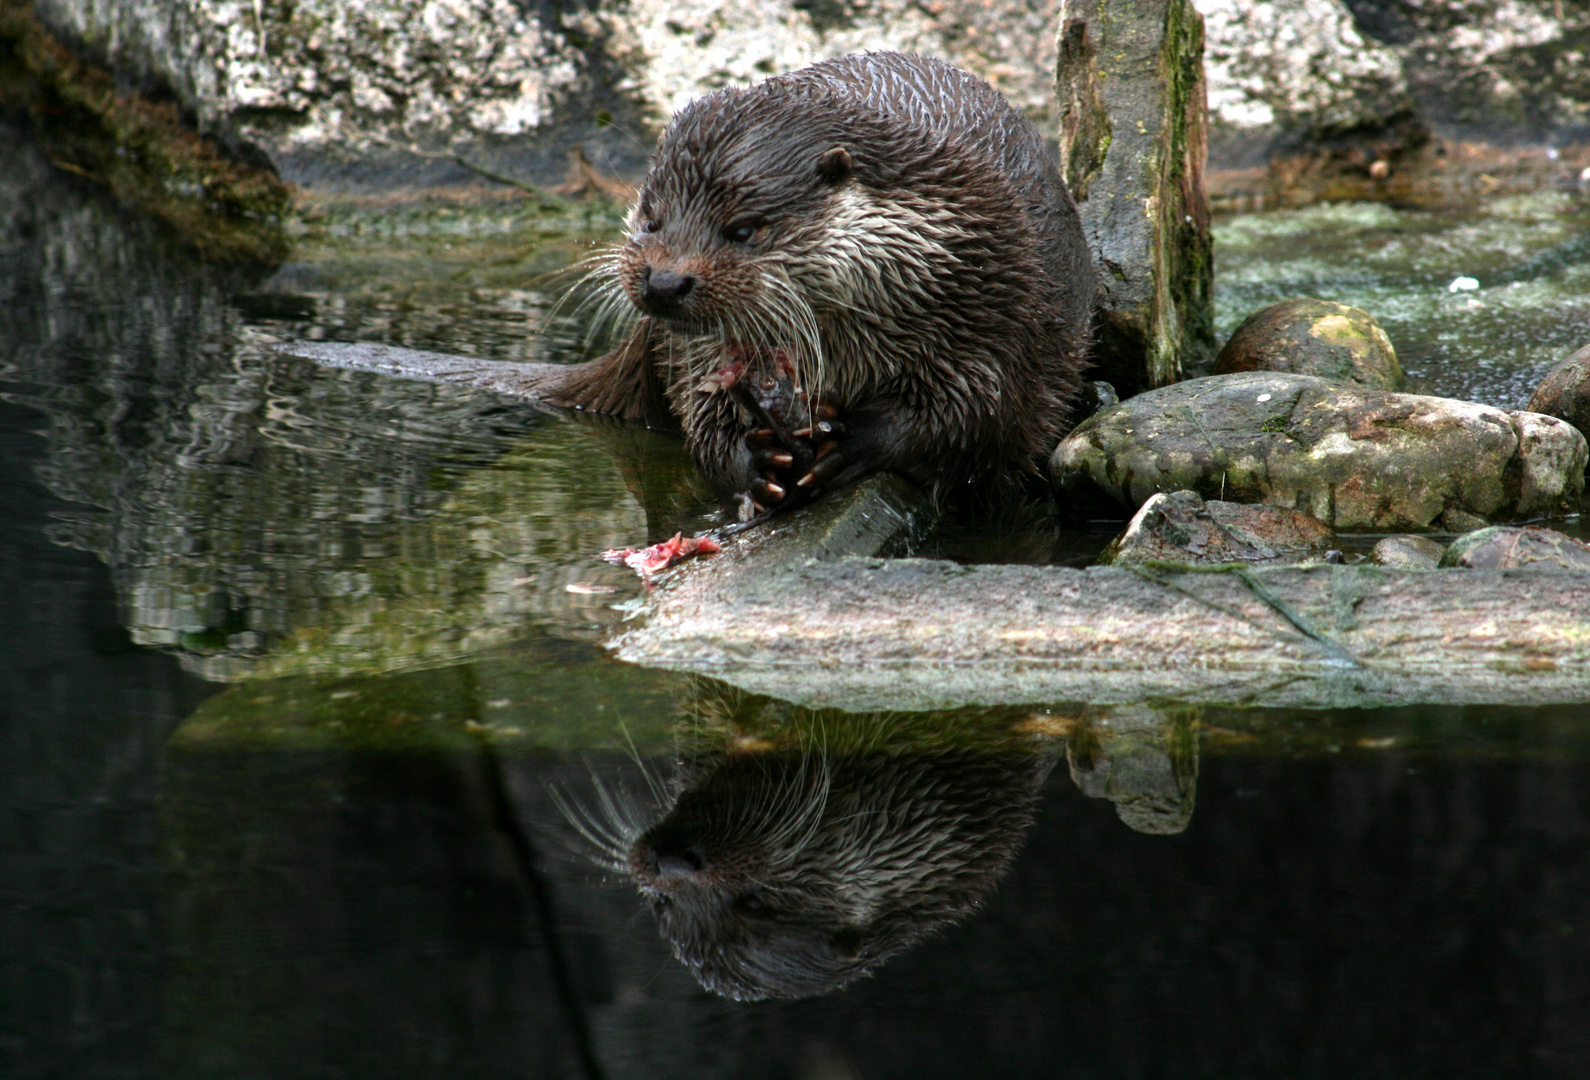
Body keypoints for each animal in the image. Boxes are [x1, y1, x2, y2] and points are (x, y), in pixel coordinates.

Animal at [546, 51, 1093, 518]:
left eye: (743, 230)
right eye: (651, 220)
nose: (664, 281)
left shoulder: (993, 311)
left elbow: (976, 414)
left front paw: (853, 441)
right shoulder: (693, 360)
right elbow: (703, 420)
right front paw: (753, 464)